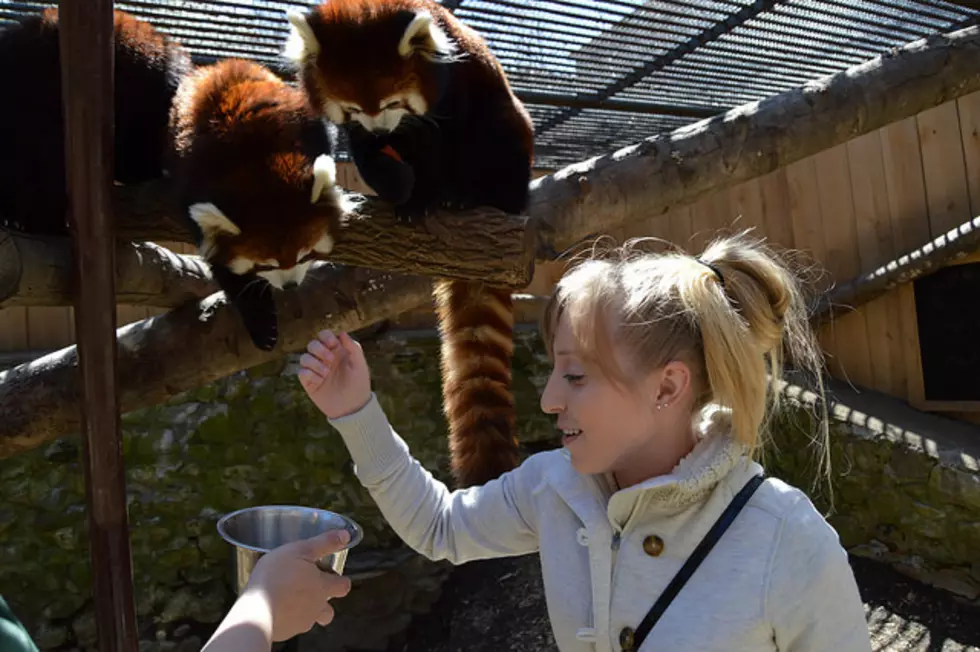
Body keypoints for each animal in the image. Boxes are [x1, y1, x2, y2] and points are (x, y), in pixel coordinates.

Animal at [167, 57, 352, 352]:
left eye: (305, 255)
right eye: (265, 266)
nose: (290, 286)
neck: (259, 166)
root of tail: (225, 65)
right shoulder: (191, 182)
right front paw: (261, 320)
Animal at [284, 0, 536, 486]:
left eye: (391, 102)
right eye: (353, 107)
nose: (381, 129)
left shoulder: (453, 89)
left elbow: (442, 139)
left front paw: (431, 194)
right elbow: (368, 154)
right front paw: (397, 186)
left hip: (510, 137)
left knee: (495, 134)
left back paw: (470, 197)